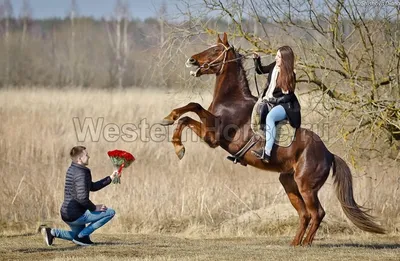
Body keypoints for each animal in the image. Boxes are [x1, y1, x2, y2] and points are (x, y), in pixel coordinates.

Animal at [160, 32, 384, 244]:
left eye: (215, 50)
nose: (191, 60)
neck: (232, 100)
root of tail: (328, 154)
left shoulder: (212, 136)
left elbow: (193, 107)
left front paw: (176, 138)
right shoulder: (210, 134)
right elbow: (187, 115)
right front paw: (172, 128)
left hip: (306, 187)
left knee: (317, 213)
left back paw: (306, 244)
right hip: (289, 183)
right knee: (305, 214)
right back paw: (295, 243)